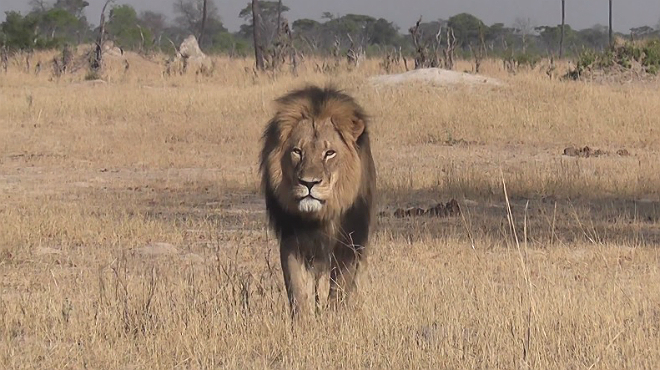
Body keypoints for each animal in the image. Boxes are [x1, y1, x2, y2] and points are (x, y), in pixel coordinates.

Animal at [260, 85, 376, 316]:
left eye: (329, 153)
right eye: (297, 151)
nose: (308, 183)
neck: (320, 217)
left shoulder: (349, 242)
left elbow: (339, 289)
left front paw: (334, 318)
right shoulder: (293, 241)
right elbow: (298, 291)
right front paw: (304, 321)